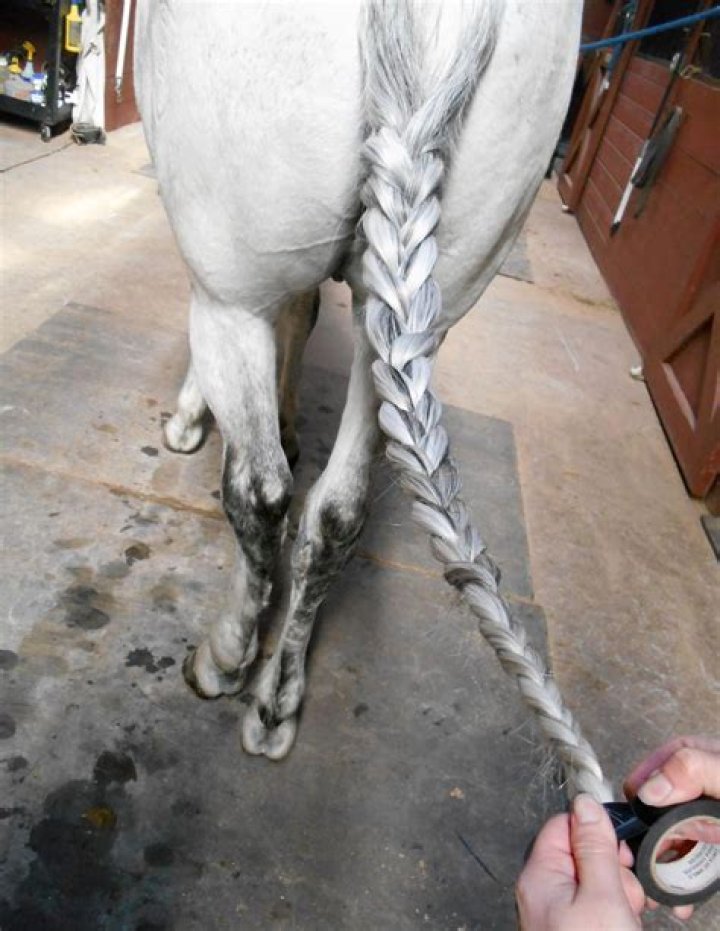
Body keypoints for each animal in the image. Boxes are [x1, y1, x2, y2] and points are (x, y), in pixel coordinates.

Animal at [133, 0, 609, 798]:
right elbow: (302, 315)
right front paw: (288, 415)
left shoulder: (221, 287)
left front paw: (191, 415)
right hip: (406, 317)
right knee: (336, 513)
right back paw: (276, 702)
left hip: (235, 294)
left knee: (261, 493)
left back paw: (228, 658)